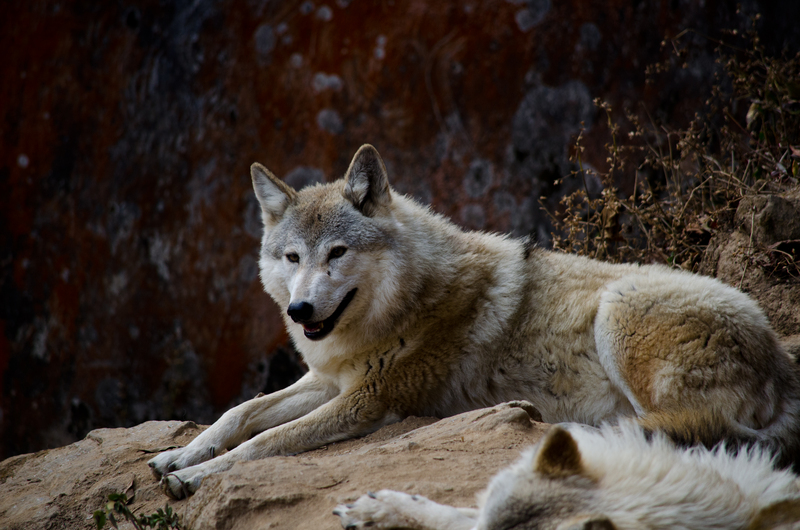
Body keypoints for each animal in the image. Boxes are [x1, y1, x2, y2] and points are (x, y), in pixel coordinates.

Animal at [148, 142, 800, 498]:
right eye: (292, 258)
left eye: (336, 253)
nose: (299, 309)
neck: (404, 303)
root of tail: (783, 365)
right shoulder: (329, 379)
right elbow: (241, 413)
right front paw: (180, 456)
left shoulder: (367, 402)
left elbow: (266, 443)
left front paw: (200, 478)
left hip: (618, 308)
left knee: (684, 425)